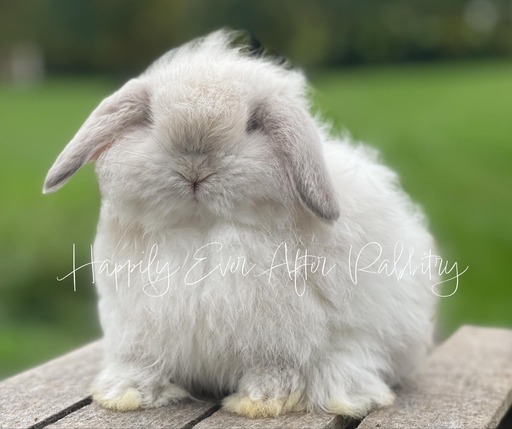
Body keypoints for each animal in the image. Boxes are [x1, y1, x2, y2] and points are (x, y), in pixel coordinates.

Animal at [43, 30, 436, 418]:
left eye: (251, 125)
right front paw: (126, 394)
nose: (195, 168)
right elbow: (142, 363)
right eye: (151, 119)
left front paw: (260, 402)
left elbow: (275, 369)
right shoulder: (138, 331)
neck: (201, 231)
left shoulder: (278, 341)